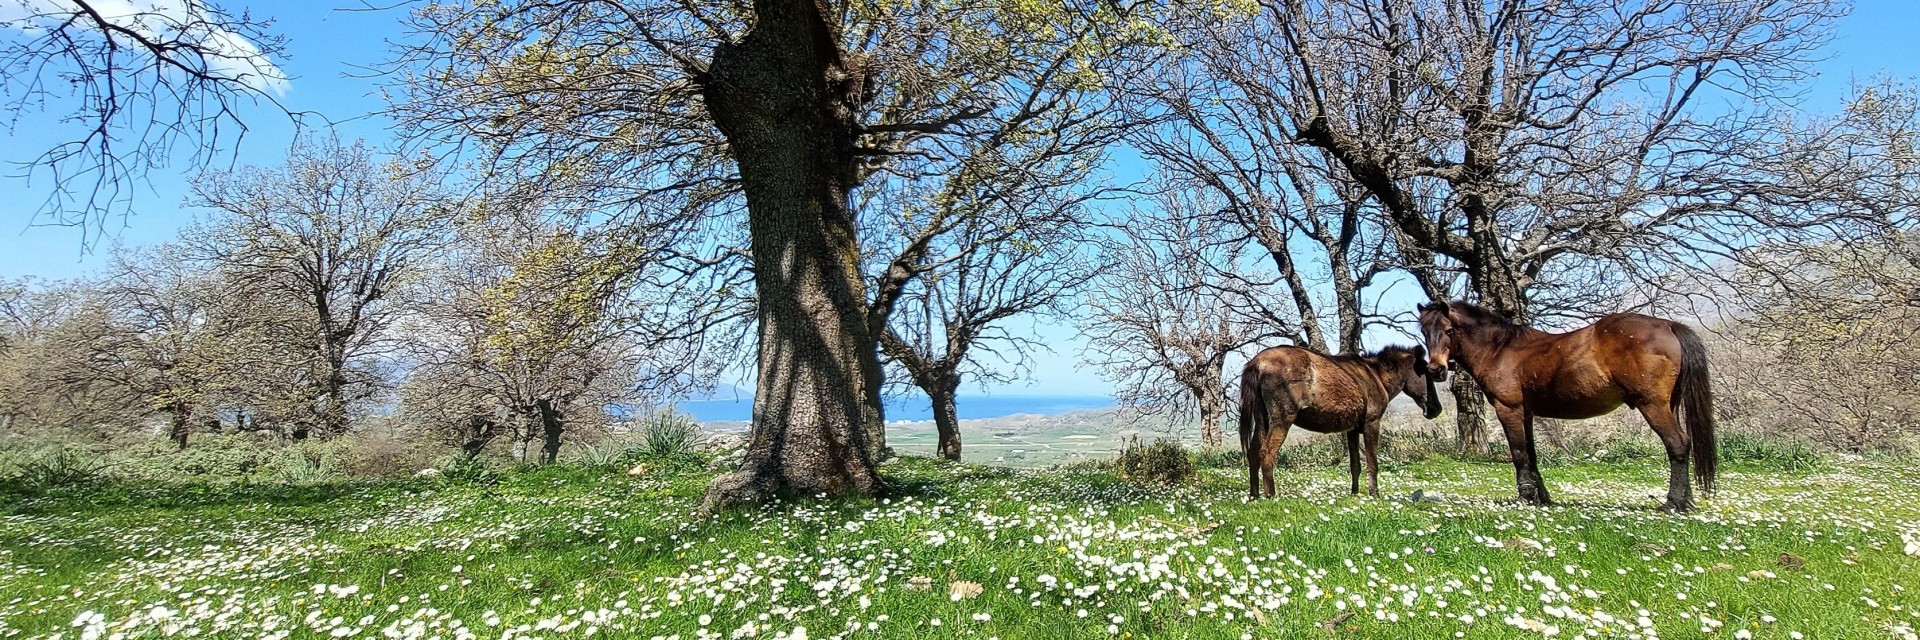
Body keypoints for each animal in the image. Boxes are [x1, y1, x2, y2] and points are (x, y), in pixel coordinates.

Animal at [1244, 344, 1443, 499]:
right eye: (1425, 372)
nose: (1436, 408)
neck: (1375, 375)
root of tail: (1258, 362)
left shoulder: (1352, 430)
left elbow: (1355, 465)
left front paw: (1354, 493)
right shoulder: (1372, 424)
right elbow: (1372, 462)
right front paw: (1374, 494)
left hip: (1263, 421)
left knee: (1253, 453)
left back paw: (1255, 496)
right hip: (1281, 422)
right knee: (1267, 454)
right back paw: (1271, 496)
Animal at [1420, 301, 1720, 511]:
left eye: (1449, 331)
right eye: (1424, 331)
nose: (1436, 370)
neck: (1501, 350)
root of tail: (1668, 325)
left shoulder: (1509, 410)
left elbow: (1519, 454)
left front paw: (1525, 497)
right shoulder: (1527, 414)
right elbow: (1531, 454)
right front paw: (1541, 497)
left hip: (1653, 406)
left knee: (1677, 444)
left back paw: (1673, 503)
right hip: (1669, 405)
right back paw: (1686, 500)